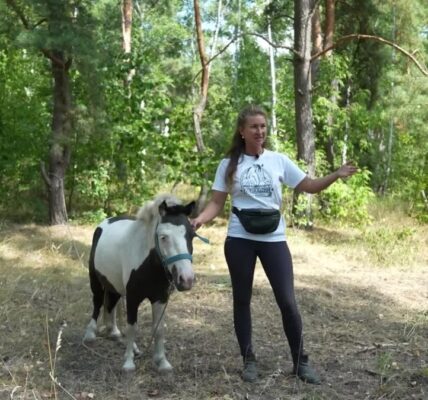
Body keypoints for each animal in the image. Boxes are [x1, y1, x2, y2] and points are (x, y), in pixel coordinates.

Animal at [83, 194, 196, 372]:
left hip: (114, 286)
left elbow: (159, 329)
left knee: (110, 306)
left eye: (192, 235)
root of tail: (105, 223)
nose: (186, 279)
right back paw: (90, 334)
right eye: (163, 237)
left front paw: (162, 362)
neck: (148, 263)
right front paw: (128, 363)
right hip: (95, 280)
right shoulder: (133, 298)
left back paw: (115, 333)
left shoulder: (160, 298)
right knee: (98, 302)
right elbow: (132, 327)